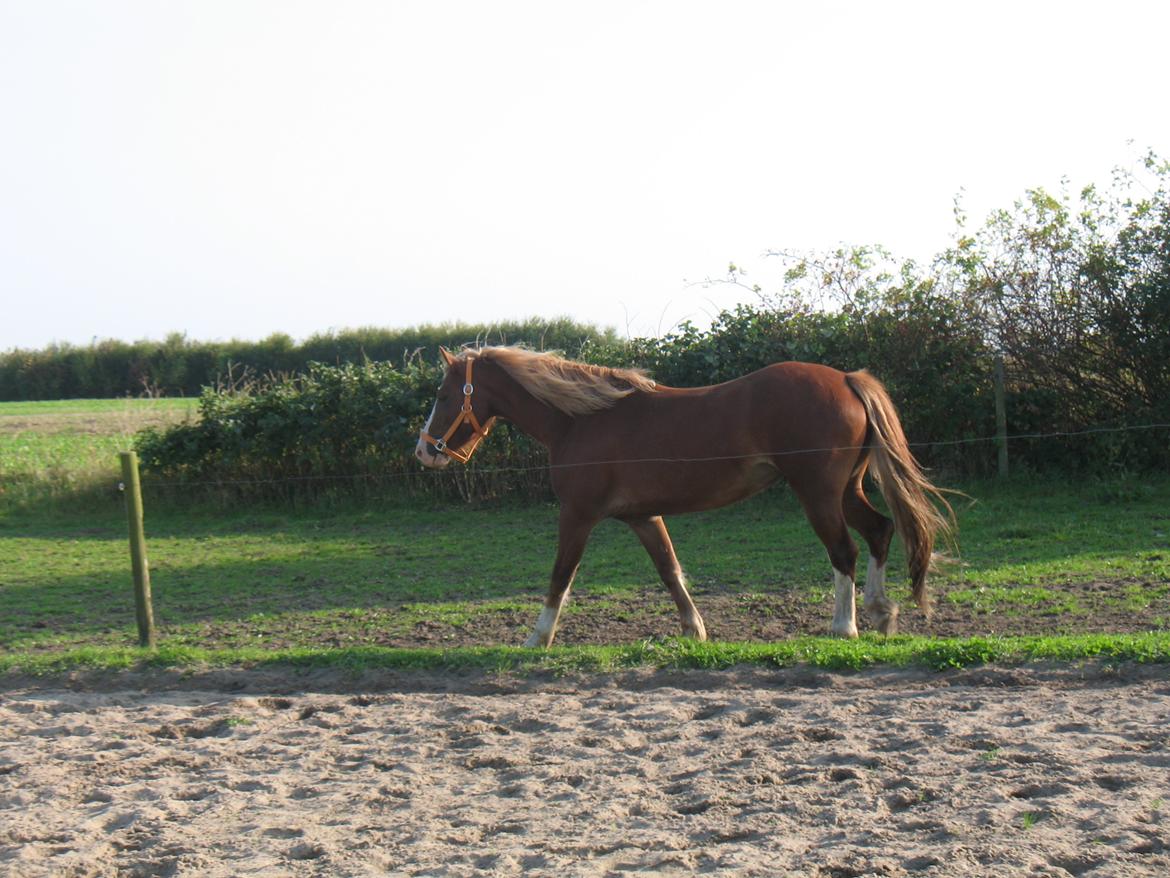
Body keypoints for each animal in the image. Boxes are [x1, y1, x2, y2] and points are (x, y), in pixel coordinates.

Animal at [414, 346, 950, 650]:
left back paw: (844, 627)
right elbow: (670, 571)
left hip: (817, 493)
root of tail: (846, 380)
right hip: (846, 491)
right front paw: (696, 632)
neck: (580, 419)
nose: (424, 451)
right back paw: (881, 615)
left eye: (443, 396)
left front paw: (536, 638)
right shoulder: (643, 517)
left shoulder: (578, 515)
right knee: (880, 532)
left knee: (845, 551)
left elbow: (560, 577)